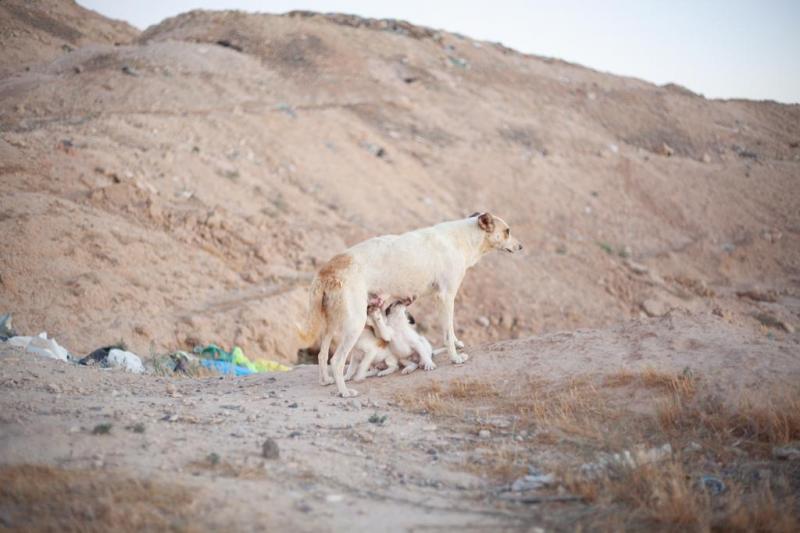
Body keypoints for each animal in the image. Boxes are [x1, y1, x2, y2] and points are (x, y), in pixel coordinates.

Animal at [302, 211, 524, 394]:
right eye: (507, 231)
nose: (521, 246)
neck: (463, 238)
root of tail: (325, 271)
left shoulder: (444, 298)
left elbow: (451, 330)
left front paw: (458, 344)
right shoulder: (445, 296)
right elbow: (447, 332)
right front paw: (455, 358)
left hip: (332, 325)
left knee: (322, 355)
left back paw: (325, 381)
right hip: (354, 323)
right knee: (337, 360)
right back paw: (345, 392)